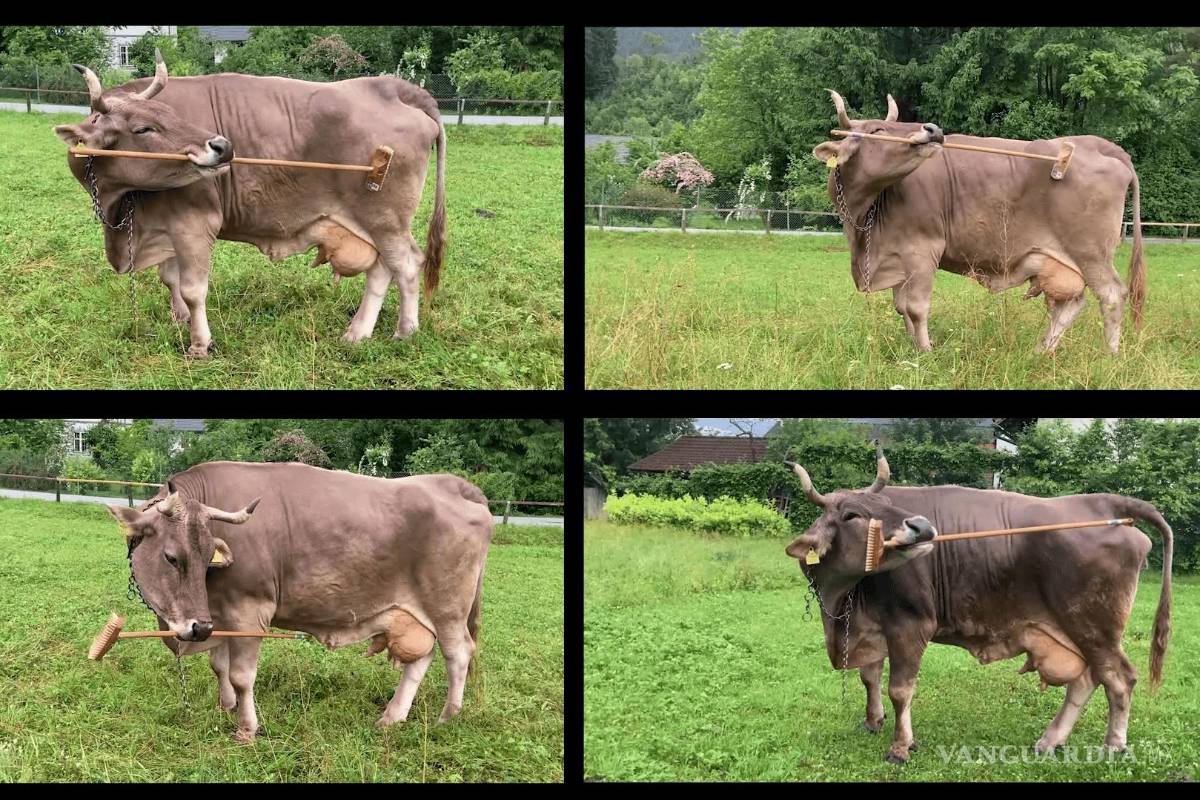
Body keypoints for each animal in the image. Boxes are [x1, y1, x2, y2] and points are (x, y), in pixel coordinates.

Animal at [54, 51, 446, 358]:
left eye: (171, 114)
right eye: (142, 128)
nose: (223, 146)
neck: (120, 207)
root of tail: (393, 87)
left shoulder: (193, 223)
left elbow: (193, 289)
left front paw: (199, 344)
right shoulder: (163, 225)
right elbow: (169, 278)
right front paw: (179, 318)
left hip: (386, 219)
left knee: (406, 265)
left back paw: (405, 331)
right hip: (372, 226)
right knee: (381, 269)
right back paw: (358, 333)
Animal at [106, 461, 490, 743]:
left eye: (204, 558)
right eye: (173, 558)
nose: (196, 628)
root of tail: (452, 484)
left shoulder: (249, 611)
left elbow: (242, 676)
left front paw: (247, 729)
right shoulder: (219, 614)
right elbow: (219, 666)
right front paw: (224, 706)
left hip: (448, 609)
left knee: (458, 654)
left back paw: (447, 717)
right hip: (416, 615)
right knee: (421, 659)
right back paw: (392, 717)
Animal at [783, 446, 1172, 764]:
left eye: (888, 505)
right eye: (851, 515)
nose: (922, 527)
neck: (842, 598)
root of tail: (1105, 502)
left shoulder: (910, 625)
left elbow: (900, 690)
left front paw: (901, 746)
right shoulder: (870, 625)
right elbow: (869, 676)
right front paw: (872, 720)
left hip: (1094, 627)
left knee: (1119, 679)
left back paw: (1113, 745)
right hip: (1079, 631)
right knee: (1088, 679)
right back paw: (1050, 741)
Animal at [813, 90, 1145, 355]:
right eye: (879, 128)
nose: (932, 129)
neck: (863, 220)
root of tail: (1101, 145)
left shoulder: (922, 250)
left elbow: (916, 308)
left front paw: (925, 352)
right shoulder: (896, 255)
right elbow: (900, 306)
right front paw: (912, 348)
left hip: (1091, 253)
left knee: (1112, 296)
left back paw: (1110, 355)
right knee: (1071, 304)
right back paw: (1041, 351)